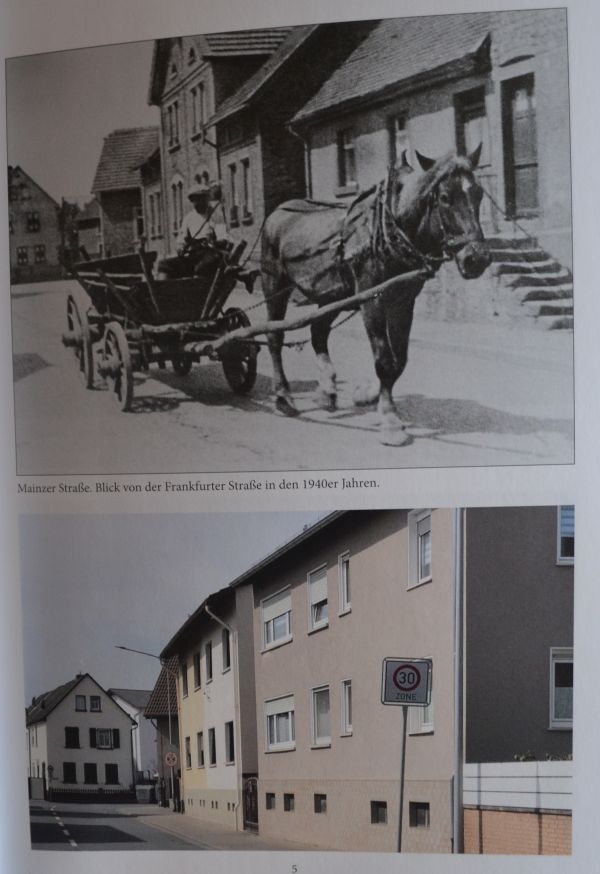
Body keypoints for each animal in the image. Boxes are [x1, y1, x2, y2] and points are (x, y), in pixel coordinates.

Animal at [260, 146, 490, 442]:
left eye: (479, 193)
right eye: (444, 198)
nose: (477, 258)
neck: (392, 228)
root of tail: (277, 211)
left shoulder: (403, 300)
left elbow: (399, 360)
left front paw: (372, 396)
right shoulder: (372, 299)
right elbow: (384, 359)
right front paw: (390, 419)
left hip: (333, 296)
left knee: (318, 332)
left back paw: (327, 390)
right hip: (274, 283)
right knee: (274, 336)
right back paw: (283, 396)